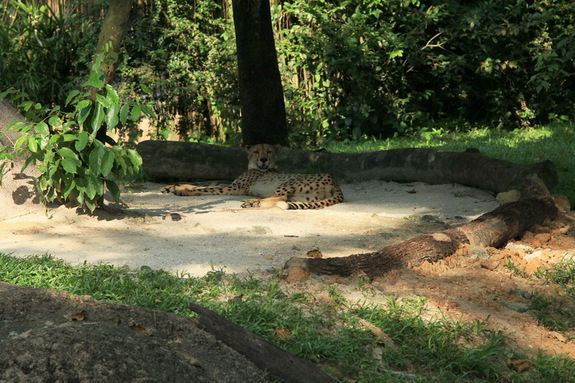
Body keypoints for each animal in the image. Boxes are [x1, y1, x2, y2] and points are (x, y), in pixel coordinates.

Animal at [160, 144, 344, 210]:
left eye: (268, 151)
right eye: (256, 151)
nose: (263, 159)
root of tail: (334, 182)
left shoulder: (235, 188)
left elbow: (207, 188)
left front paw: (182, 191)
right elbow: (204, 184)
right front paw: (172, 187)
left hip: (288, 182)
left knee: (281, 197)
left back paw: (252, 202)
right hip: (302, 196)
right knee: (282, 199)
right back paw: (254, 202)